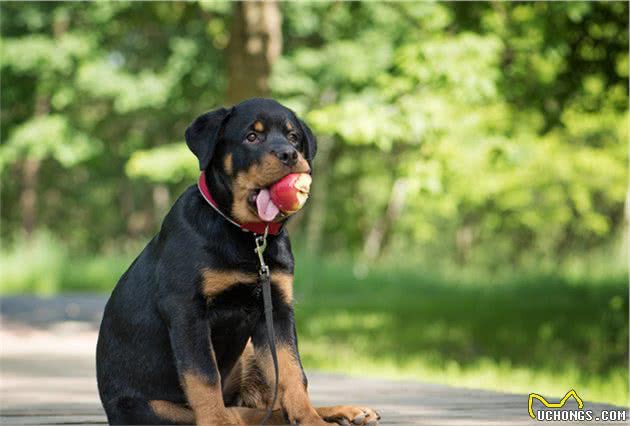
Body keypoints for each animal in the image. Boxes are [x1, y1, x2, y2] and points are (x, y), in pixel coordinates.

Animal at [94, 99, 380, 426]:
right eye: (251, 137)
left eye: (293, 137)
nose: (289, 154)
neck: (248, 236)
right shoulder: (187, 310)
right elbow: (204, 377)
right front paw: (216, 422)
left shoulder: (277, 310)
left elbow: (293, 372)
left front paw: (309, 419)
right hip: (153, 409)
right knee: (239, 411)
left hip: (249, 354)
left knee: (265, 407)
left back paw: (347, 411)